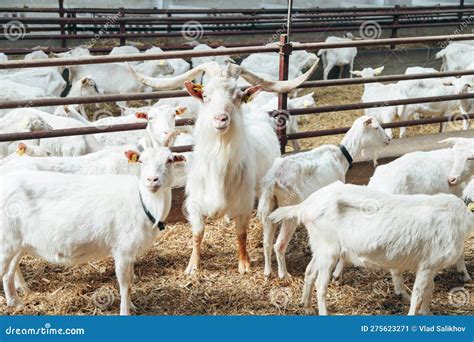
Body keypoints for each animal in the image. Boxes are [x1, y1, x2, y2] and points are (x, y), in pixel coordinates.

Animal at [1, 133, 187, 316]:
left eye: (170, 160)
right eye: (141, 161)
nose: (152, 180)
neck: (143, 202)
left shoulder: (130, 251)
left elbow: (130, 282)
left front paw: (132, 306)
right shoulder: (122, 250)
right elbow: (125, 286)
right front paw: (126, 311)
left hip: (17, 243)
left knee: (8, 273)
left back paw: (16, 303)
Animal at [130, 58, 318, 274]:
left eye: (238, 96)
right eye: (205, 95)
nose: (220, 118)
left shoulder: (244, 204)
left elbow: (241, 234)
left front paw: (244, 264)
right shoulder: (194, 204)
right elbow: (198, 234)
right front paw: (192, 266)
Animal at [258, 115, 390, 278]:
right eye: (376, 128)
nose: (388, 139)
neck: (341, 157)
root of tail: (273, 179)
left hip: (270, 208)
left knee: (267, 243)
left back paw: (267, 272)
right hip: (288, 209)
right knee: (279, 245)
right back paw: (284, 275)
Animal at [268, 182, 474, 316]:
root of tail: (306, 205)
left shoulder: (430, 265)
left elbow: (429, 291)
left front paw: (426, 314)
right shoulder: (427, 265)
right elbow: (418, 293)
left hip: (320, 246)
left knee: (310, 271)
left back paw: (307, 306)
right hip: (328, 250)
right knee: (321, 284)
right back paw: (322, 312)